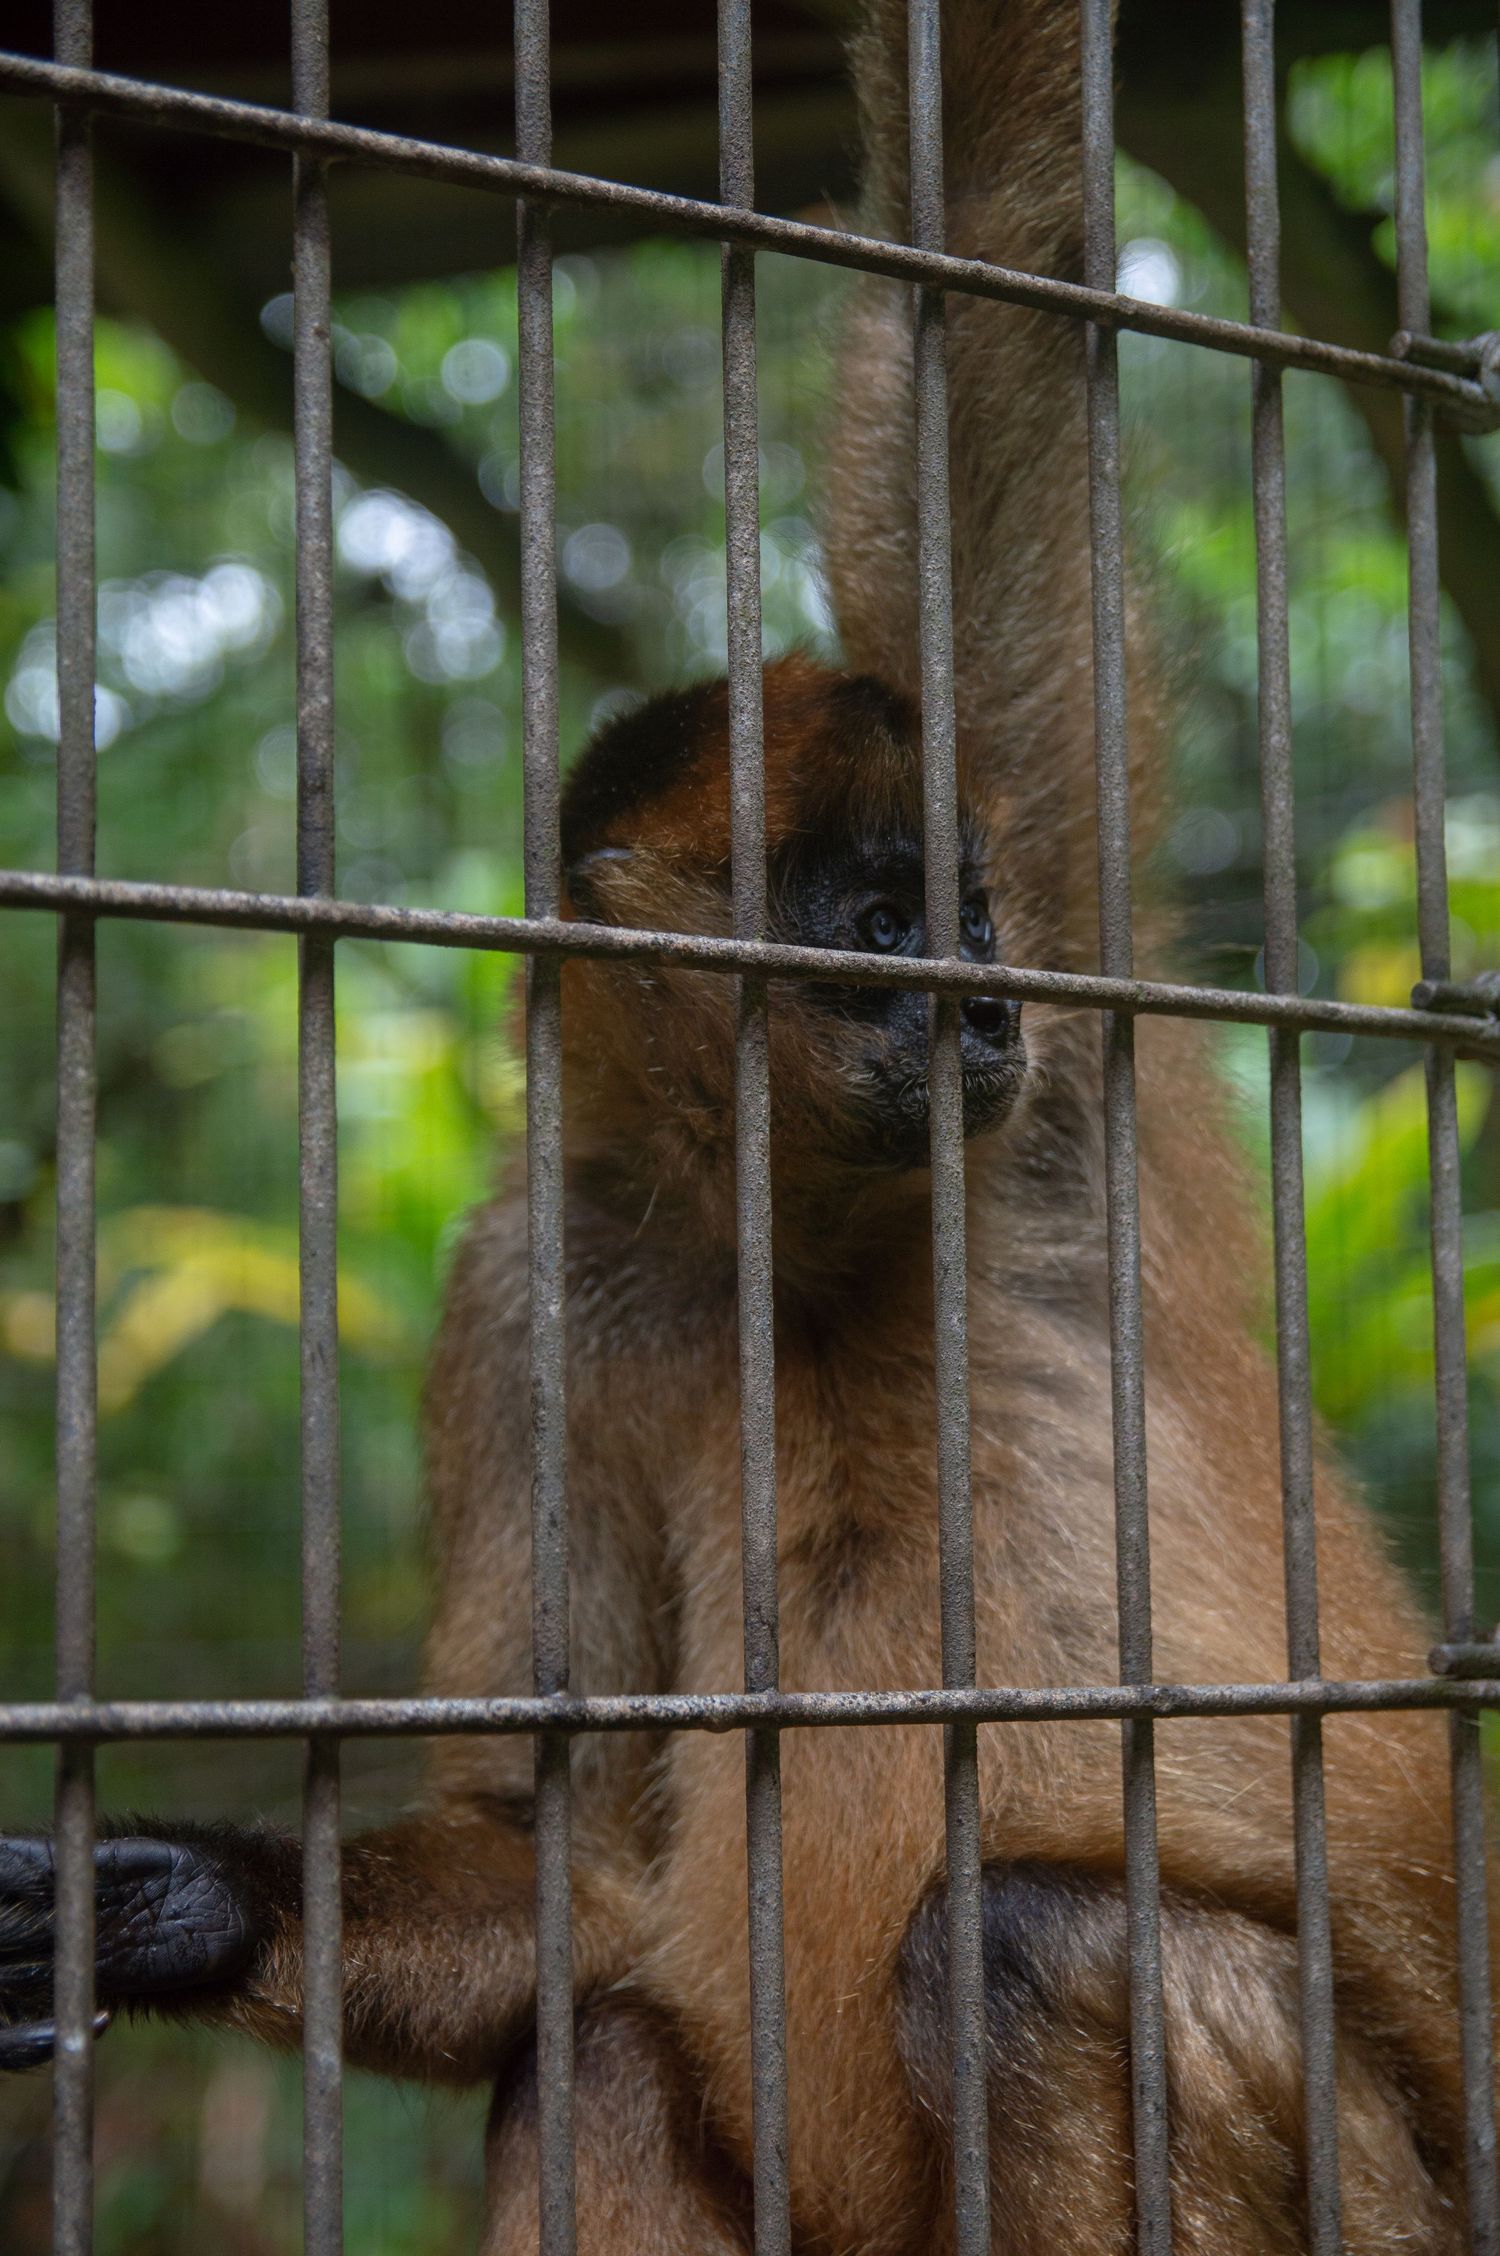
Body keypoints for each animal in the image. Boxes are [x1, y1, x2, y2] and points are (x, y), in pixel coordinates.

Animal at [1, 0, 1486, 2248]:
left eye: (966, 917)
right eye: (875, 931)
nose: (977, 1003)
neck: (786, 1225)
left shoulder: (1063, 1040)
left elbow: (995, 250)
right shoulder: (537, 1282)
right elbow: (536, 1827)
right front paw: (177, 1901)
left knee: (1036, 1945)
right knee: (600, 2049)